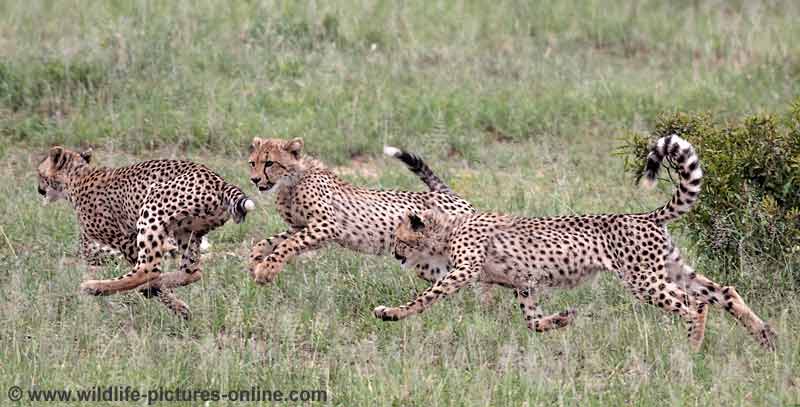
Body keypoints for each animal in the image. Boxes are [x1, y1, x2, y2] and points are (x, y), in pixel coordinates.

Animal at [36, 147, 253, 318]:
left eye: (39, 173)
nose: (38, 189)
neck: (77, 177)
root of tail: (217, 179)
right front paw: (177, 305)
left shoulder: (125, 239)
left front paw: (176, 305)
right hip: (187, 231)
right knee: (192, 271)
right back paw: (151, 288)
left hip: (152, 209)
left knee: (148, 270)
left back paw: (95, 287)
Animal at [245, 139, 476, 286]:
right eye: (252, 163)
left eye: (269, 162)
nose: (254, 179)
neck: (292, 180)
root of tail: (449, 194)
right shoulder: (300, 226)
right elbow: (267, 242)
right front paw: (255, 262)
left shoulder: (326, 225)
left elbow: (287, 245)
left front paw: (266, 270)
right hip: (428, 262)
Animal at [378, 135, 780, 352]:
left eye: (400, 239)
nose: (395, 256)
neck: (449, 228)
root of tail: (646, 216)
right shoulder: (525, 285)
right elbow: (533, 322)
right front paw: (563, 318)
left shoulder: (463, 271)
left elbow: (424, 299)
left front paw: (390, 313)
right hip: (671, 268)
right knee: (724, 292)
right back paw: (765, 336)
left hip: (644, 280)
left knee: (694, 304)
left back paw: (691, 350)